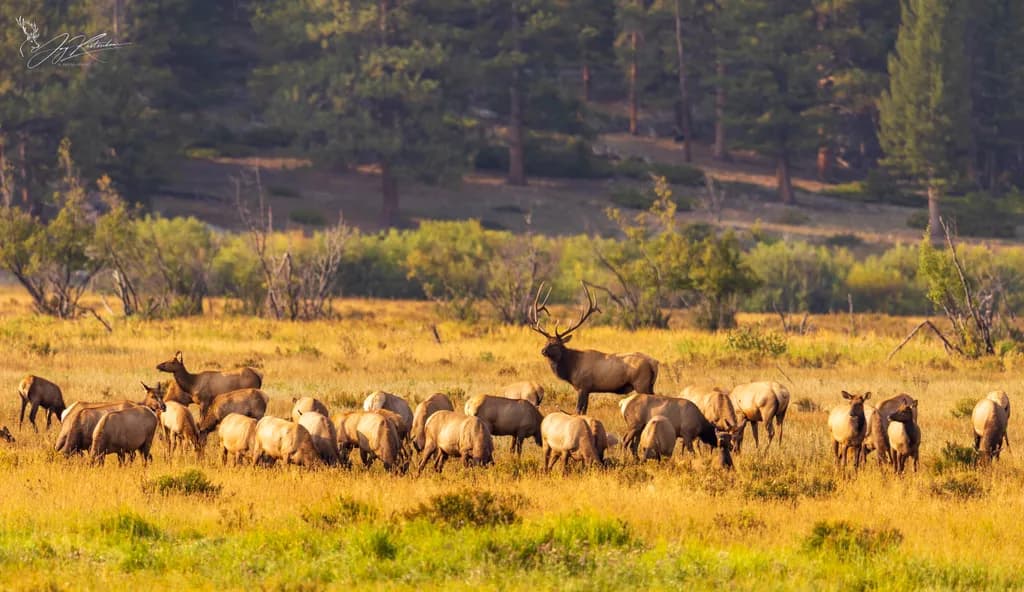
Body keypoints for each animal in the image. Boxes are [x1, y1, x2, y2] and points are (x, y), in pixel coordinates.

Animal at [528, 282, 659, 414]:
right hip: (649, 385)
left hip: (641, 383)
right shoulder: (588, 389)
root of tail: (654, 363)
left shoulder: (583, 386)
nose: (543, 351)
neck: (571, 367)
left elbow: (578, 410)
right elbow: (584, 410)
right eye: (546, 342)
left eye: (556, 344)